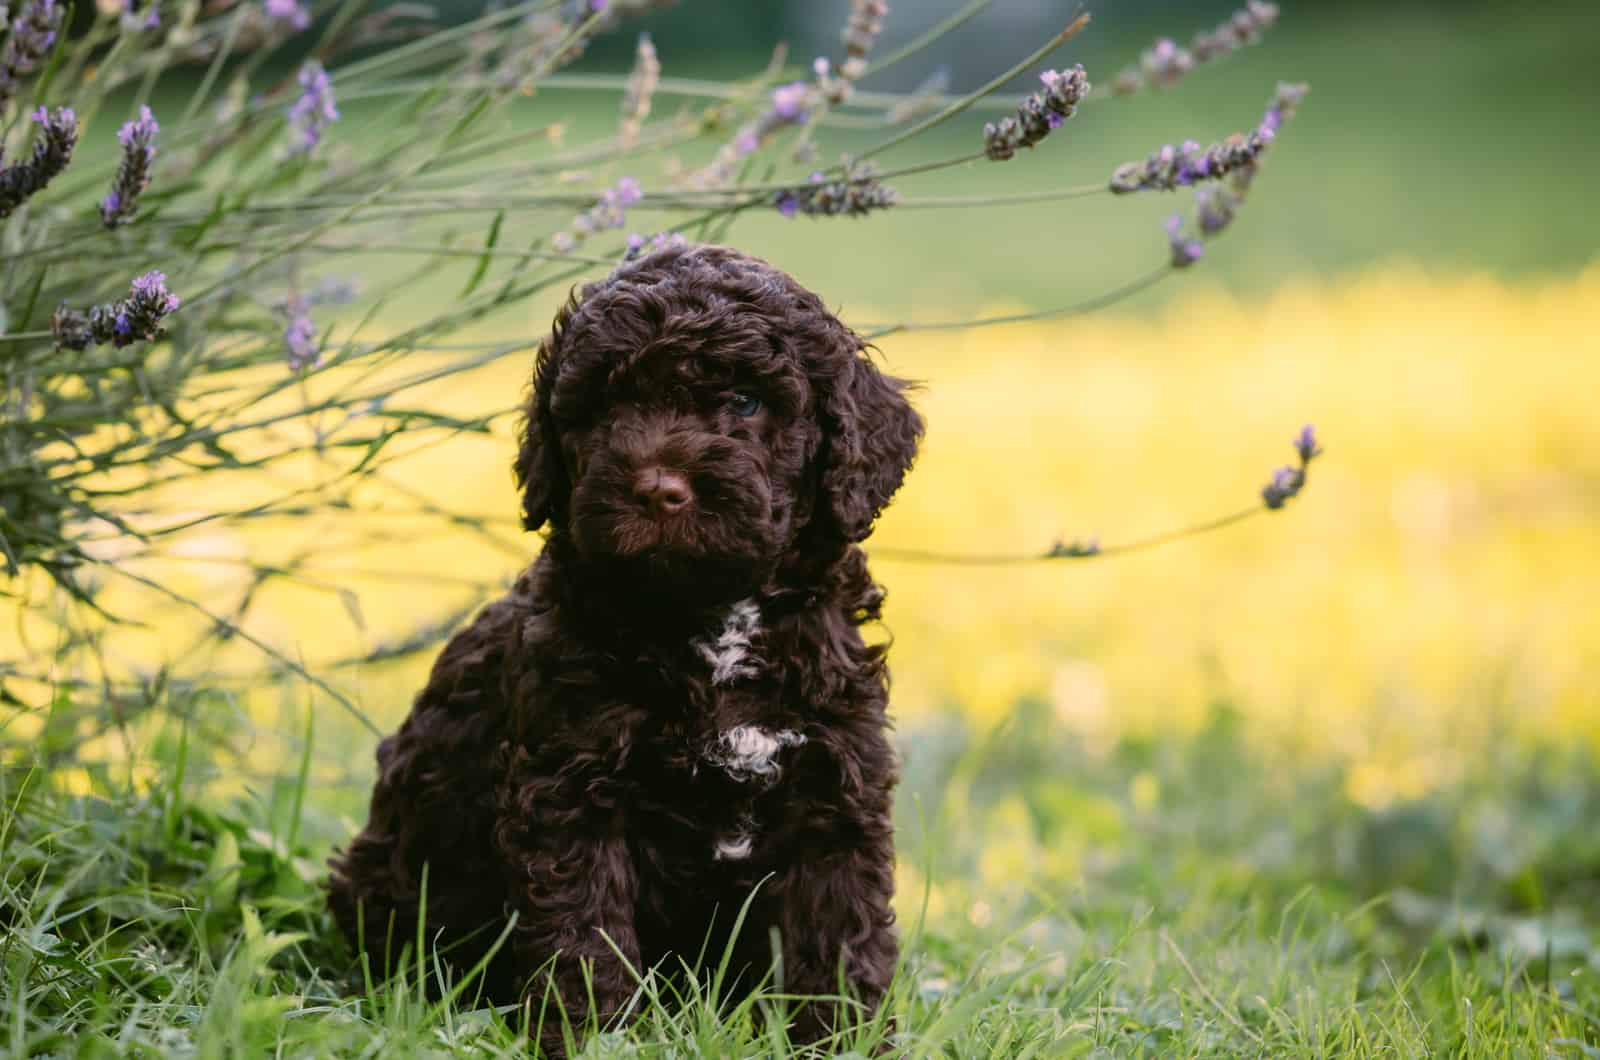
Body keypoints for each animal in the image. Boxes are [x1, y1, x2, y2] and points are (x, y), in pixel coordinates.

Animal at [324, 243, 928, 1060]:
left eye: (746, 402)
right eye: (607, 407)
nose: (657, 488)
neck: (711, 623)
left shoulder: (835, 791)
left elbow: (839, 939)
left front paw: (842, 1043)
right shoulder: (570, 797)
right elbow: (586, 939)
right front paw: (595, 1038)